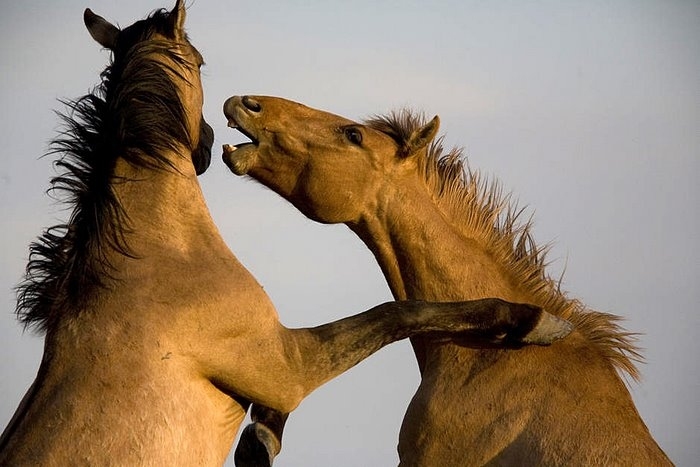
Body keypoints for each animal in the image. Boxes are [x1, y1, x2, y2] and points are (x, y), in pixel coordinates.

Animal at [0, 4, 576, 467]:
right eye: (202, 62)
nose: (209, 139)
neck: (156, 252)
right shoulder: (288, 367)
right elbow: (396, 314)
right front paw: (537, 322)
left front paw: (260, 443)